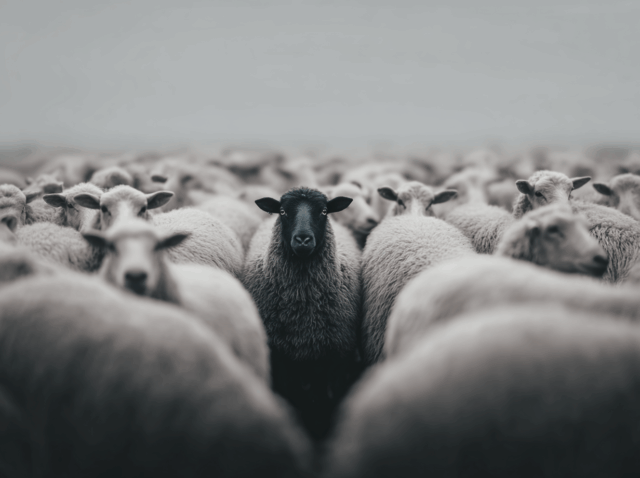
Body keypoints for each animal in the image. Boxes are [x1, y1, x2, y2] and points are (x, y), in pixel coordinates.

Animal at [243, 187, 361, 440]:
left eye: (324, 211)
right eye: (283, 211)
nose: (303, 239)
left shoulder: (334, 358)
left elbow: (324, 403)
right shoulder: (281, 359)